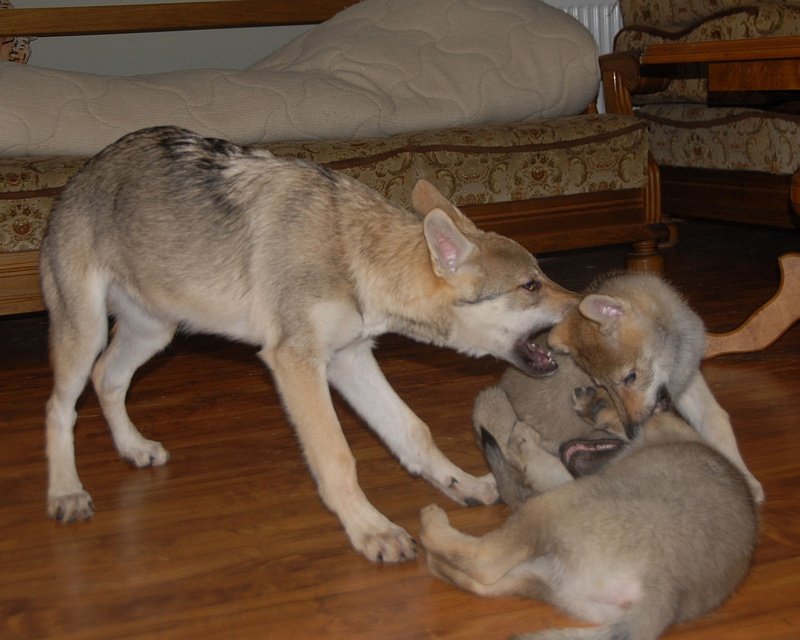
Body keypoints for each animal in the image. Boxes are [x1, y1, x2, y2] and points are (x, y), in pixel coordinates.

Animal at [39, 125, 577, 563]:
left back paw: (132, 448)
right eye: (532, 285)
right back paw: (66, 492)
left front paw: (459, 484)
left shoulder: (350, 358)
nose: (585, 303)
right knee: (60, 406)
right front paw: (371, 530)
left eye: (542, 275)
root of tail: (81, 174)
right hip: (86, 332)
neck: (353, 253)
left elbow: (413, 431)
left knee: (107, 379)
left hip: (155, 331)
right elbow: (338, 458)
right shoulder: (296, 362)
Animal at [420, 273, 760, 640]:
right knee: (488, 551)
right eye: (606, 383)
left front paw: (747, 478)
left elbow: (716, 419)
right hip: (523, 451)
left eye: (630, 377)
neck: (676, 348)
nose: (634, 428)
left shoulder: (686, 386)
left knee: (486, 572)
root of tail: (664, 592)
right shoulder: (659, 416)